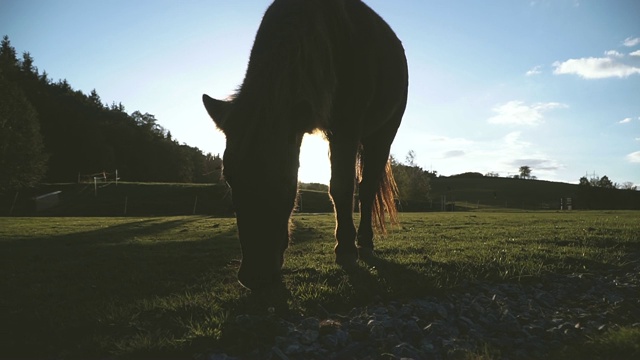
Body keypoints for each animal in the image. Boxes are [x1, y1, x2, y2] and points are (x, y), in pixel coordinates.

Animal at [202, 0, 408, 290]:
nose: (254, 276)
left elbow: (341, 188)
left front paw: (346, 250)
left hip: (382, 133)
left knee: (367, 188)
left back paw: (365, 242)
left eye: (283, 177)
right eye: (229, 178)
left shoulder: (346, 128)